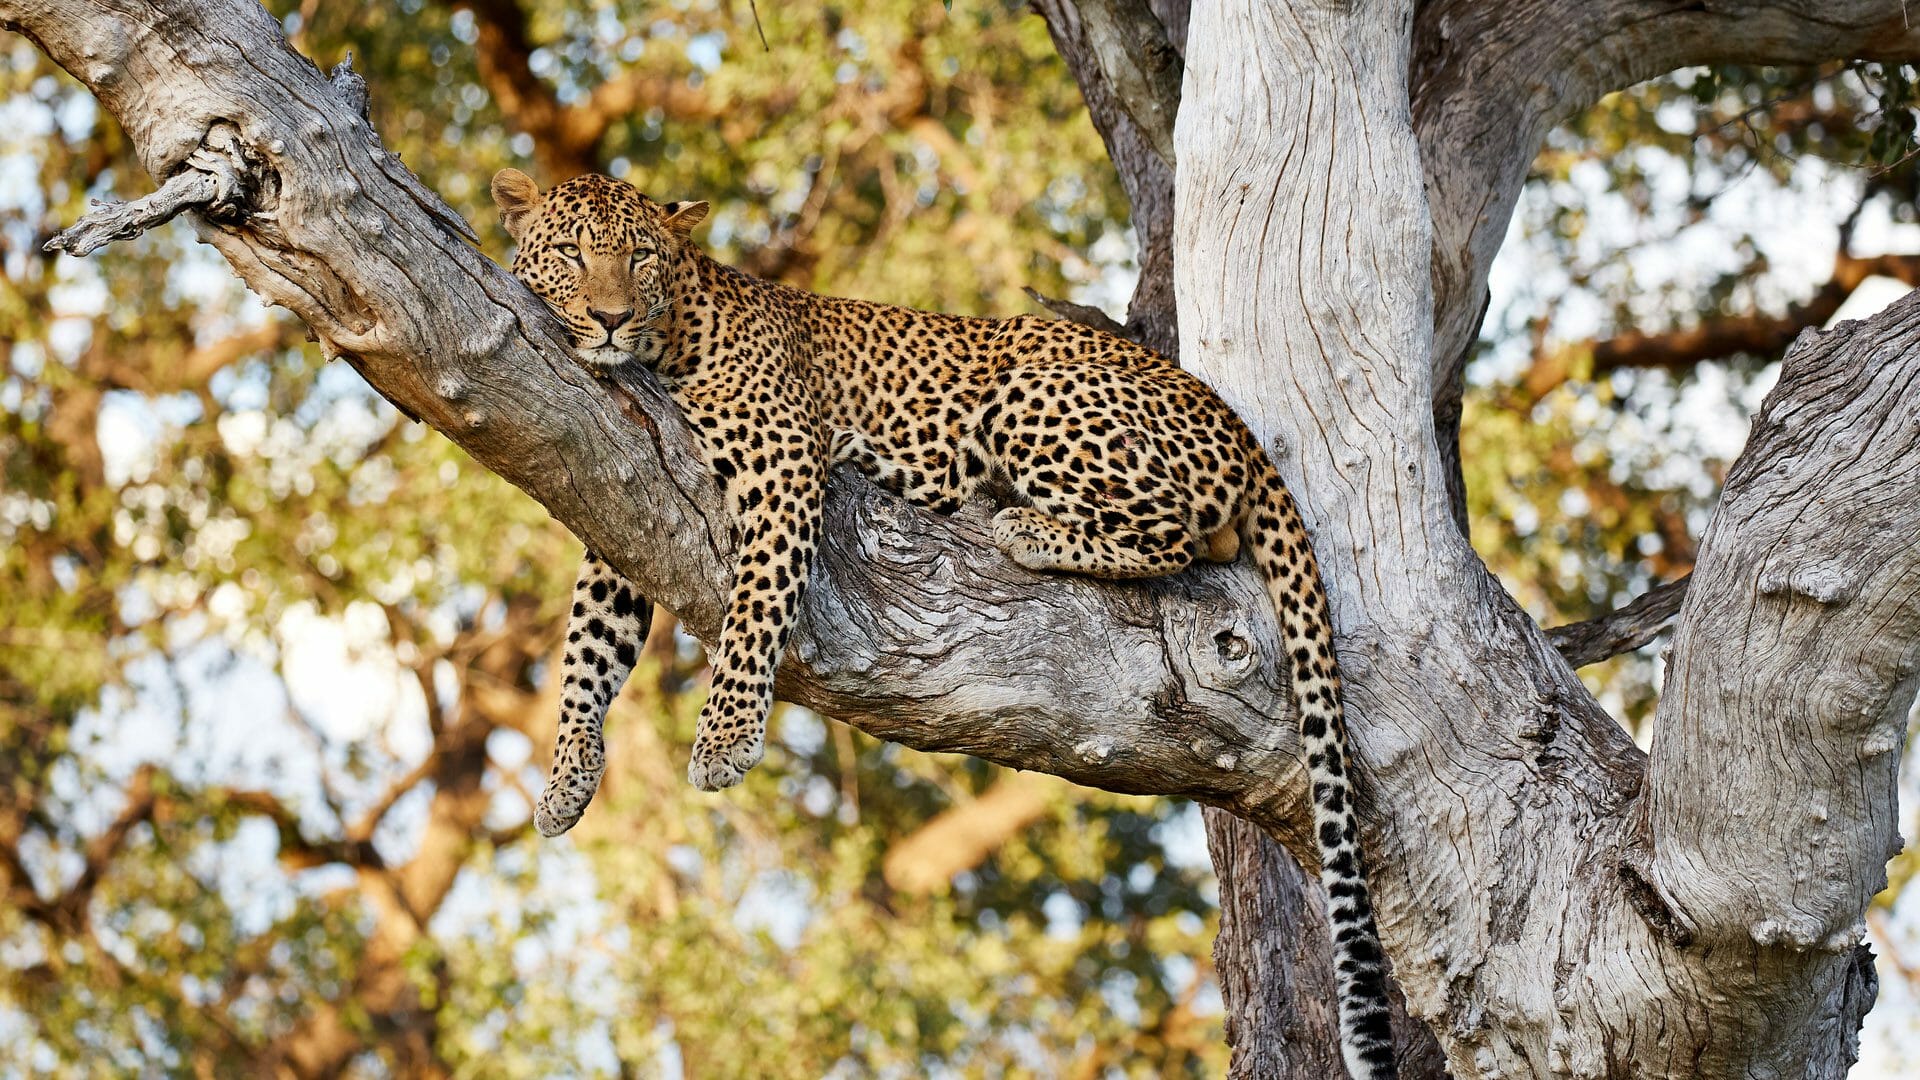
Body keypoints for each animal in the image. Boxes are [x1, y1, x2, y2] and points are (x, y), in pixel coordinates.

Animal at [491, 170, 1397, 1076]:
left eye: (641, 255)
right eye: (570, 252)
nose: (610, 316)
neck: (667, 338)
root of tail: (1233, 417)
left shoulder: (783, 466)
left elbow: (753, 608)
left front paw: (724, 740)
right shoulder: (622, 503)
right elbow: (586, 650)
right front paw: (565, 781)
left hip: (1030, 392)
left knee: (1177, 533)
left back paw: (1012, 521)